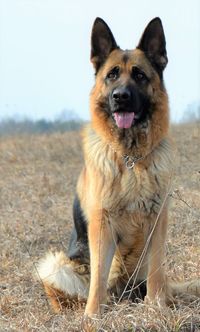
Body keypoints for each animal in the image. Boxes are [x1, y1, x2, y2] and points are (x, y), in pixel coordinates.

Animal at [38, 17, 200, 316]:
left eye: (140, 75)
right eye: (112, 75)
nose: (120, 96)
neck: (130, 158)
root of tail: (125, 293)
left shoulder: (158, 221)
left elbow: (157, 270)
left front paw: (156, 307)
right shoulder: (102, 224)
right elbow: (99, 277)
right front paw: (93, 316)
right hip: (55, 266)